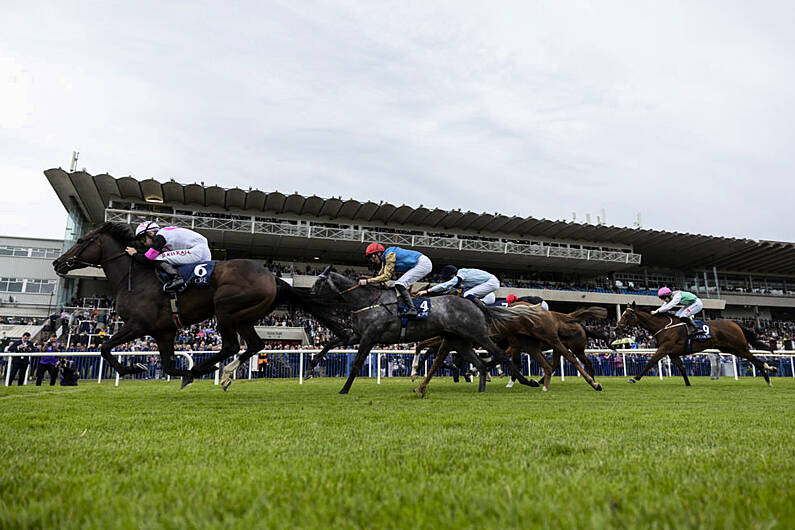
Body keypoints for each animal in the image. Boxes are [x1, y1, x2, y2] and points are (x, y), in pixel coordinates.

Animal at [51, 221, 334, 386]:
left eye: (80, 241)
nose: (57, 263)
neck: (134, 276)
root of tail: (272, 276)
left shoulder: (138, 325)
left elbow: (105, 348)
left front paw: (133, 367)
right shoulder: (164, 331)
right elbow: (167, 364)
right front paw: (179, 373)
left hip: (225, 310)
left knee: (231, 345)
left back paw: (208, 369)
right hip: (244, 316)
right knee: (254, 345)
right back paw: (224, 373)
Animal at [308, 270, 536, 390]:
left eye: (319, 283)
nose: (308, 296)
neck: (369, 302)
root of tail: (474, 303)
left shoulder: (370, 337)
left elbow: (356, 363)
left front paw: (344, 389)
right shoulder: (357, 334)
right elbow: (330, 343)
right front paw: (311, 368)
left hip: (478, 335)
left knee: (500, 356)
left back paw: (527, 381)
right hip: (460, 341)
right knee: (480, 362)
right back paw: (481, 385)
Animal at [616, 302, 772, 384]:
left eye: (627, 315)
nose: (617, 328)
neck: (664, 327)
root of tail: (735, 323)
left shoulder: (664, 349)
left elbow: (651, 362)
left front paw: (634, 378)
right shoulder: (672, 353)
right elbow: (682, 368)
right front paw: (688, 384)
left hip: (739, 346)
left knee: (756, 360)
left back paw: (768, 378)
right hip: (729, 348)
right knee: (753, 359)